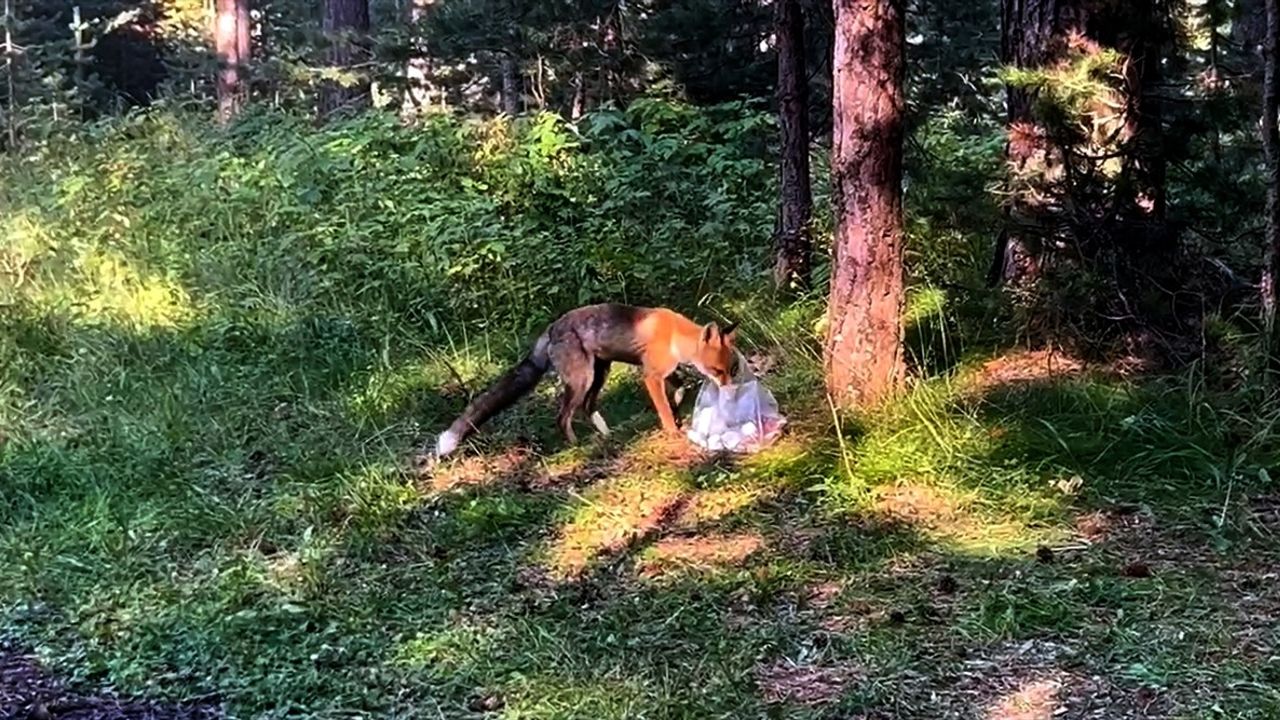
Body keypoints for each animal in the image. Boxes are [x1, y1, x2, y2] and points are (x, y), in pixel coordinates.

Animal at [437, 302, 742, 453]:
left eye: (731, 370)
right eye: (718, 371)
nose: (730, 392)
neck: (675, 336)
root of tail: (551, 328)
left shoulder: (662, 372)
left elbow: (680, 388)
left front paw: (678, 406)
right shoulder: (650, 375)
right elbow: (665, 408)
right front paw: (673, 429)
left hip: (599, 373)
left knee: (586, 408)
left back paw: (606, 435)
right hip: (582, 379)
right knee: (563, 417)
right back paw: (577, 446)